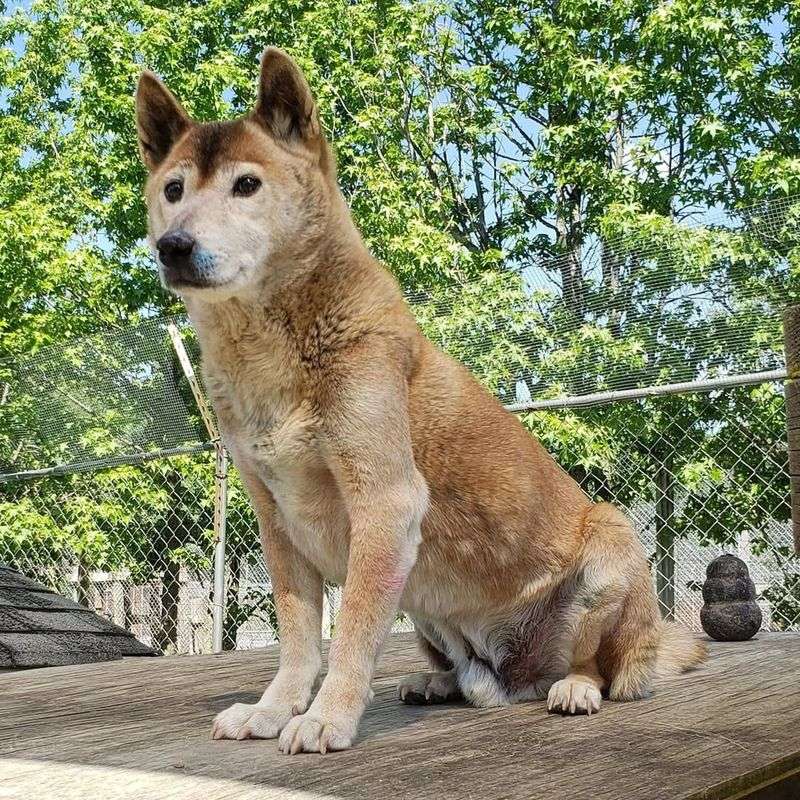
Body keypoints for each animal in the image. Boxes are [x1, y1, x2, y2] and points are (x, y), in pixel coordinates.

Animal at [134, 48, 704, 752]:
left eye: (246, 185)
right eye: (174, 190)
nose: (173, 246)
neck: (270, 345)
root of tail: (519, 677)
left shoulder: (385, 504)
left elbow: (351, 632)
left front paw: (327, 716)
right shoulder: (278, 522)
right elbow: (298, 640)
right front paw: (273, 709)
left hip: (610, 543)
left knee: (598, 667)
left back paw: (576, 687)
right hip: (425, 602)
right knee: (470, 674)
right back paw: (440, 682)